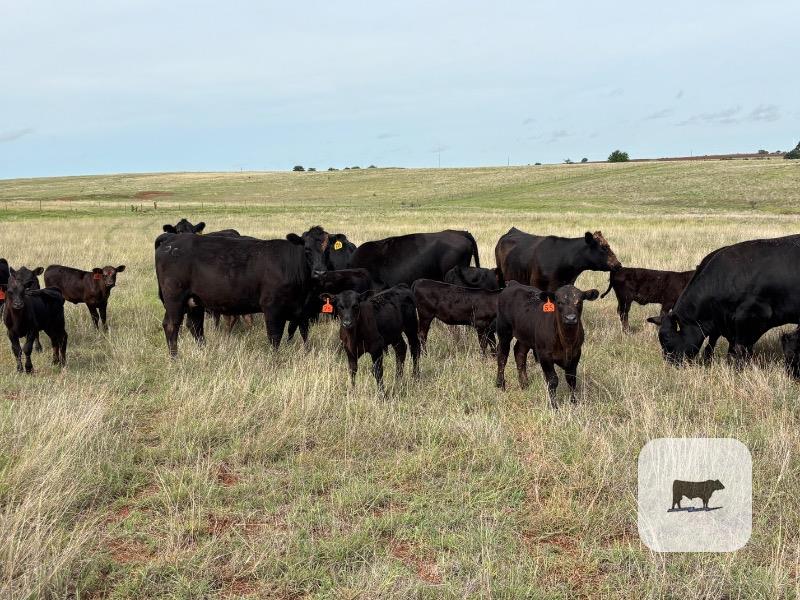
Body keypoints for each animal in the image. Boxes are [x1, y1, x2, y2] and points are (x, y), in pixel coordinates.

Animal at [155, 226, 330, 355]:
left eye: (327, 250)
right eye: (307, 249)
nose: (320, 272)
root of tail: (171, 240)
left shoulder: (302, 311)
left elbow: (304, 334)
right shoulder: (272, 308)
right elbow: (275, 337)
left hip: (194, 300)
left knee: (195, 326)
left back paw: (204, 351)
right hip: (174, 298)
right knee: (171, 325)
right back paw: (175, 358)